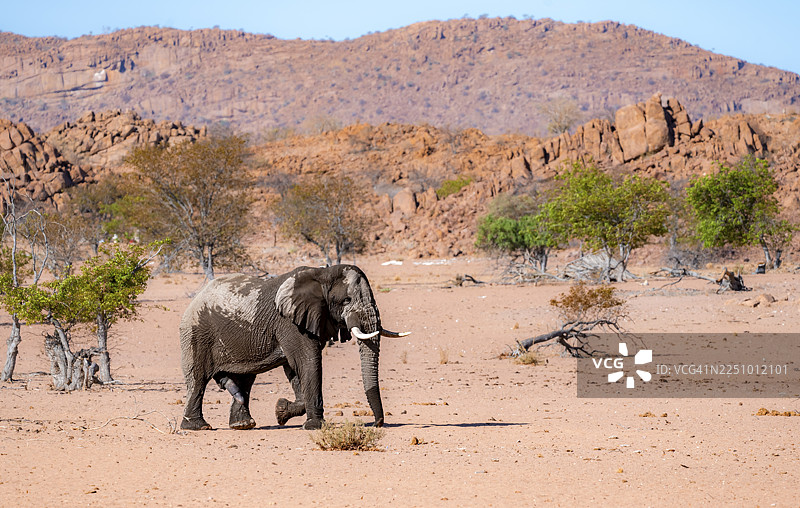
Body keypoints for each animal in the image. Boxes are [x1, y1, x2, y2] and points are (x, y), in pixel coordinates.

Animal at [179, 264, 409, 431]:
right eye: (346, 300)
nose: (377, 424)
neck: (322, 273)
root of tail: (195, 298)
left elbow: (295, 369)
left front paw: (281, 410)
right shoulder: (289, 323)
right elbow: (308, 362)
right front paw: (314, 426)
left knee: (245, 380)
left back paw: (242, 424)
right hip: (195, 333)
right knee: (198, 379)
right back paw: (198, 427)